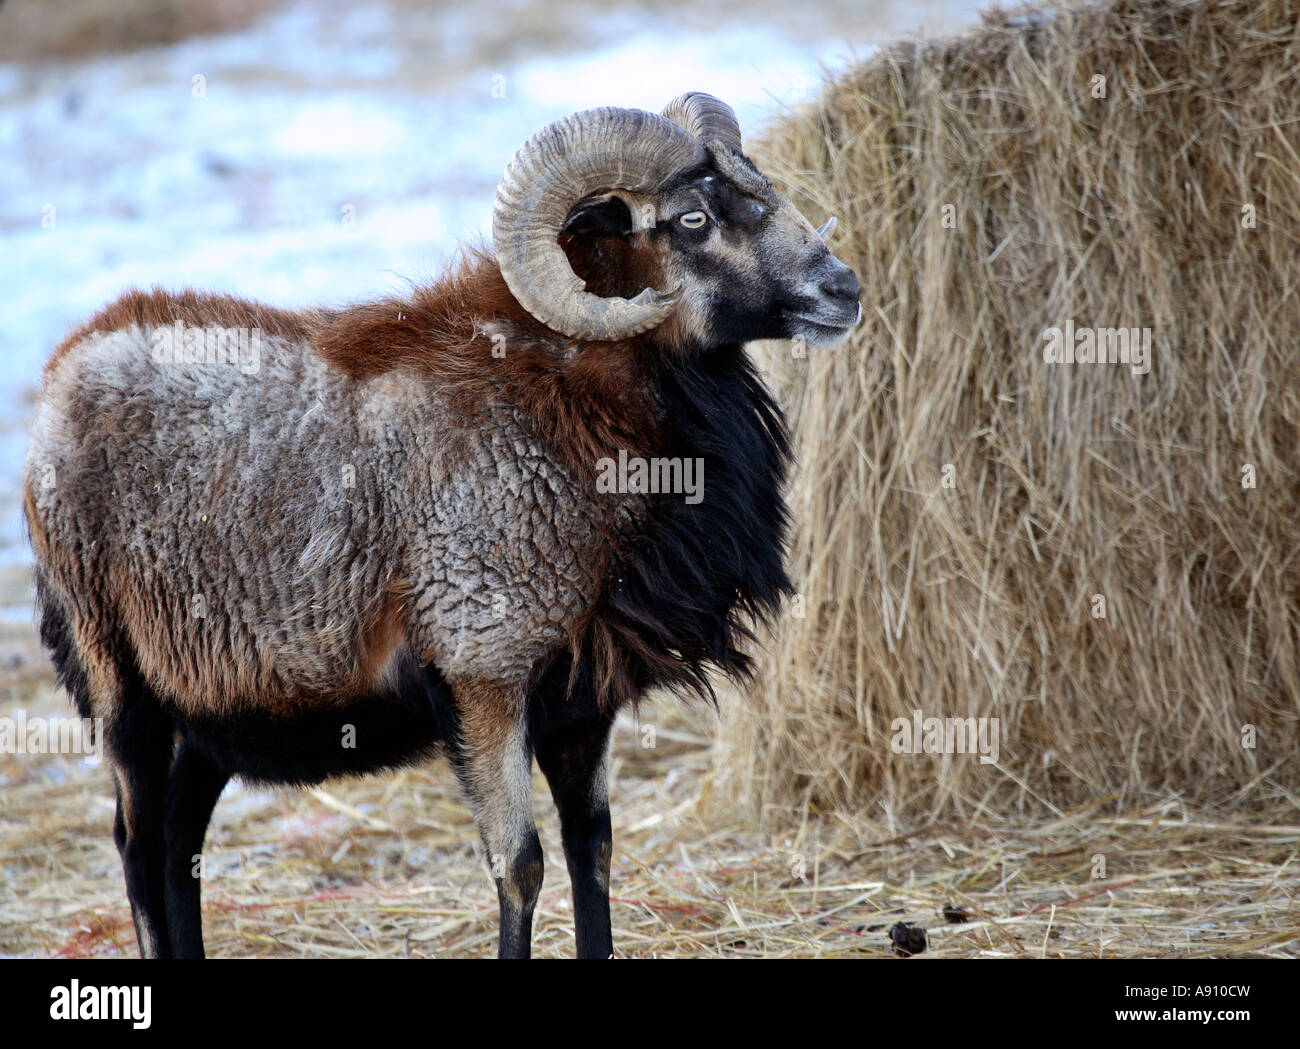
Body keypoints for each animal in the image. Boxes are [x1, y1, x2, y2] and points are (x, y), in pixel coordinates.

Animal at [23, 92, 862, 959]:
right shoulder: (481, 674)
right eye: (692, 218)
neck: (573, 411)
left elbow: (592, 849)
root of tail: (67, 365)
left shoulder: (580, 694)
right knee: (140, 842)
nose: (844, 288)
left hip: (215, 706)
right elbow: (520, 864)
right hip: (122, 685)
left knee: (182, 840)